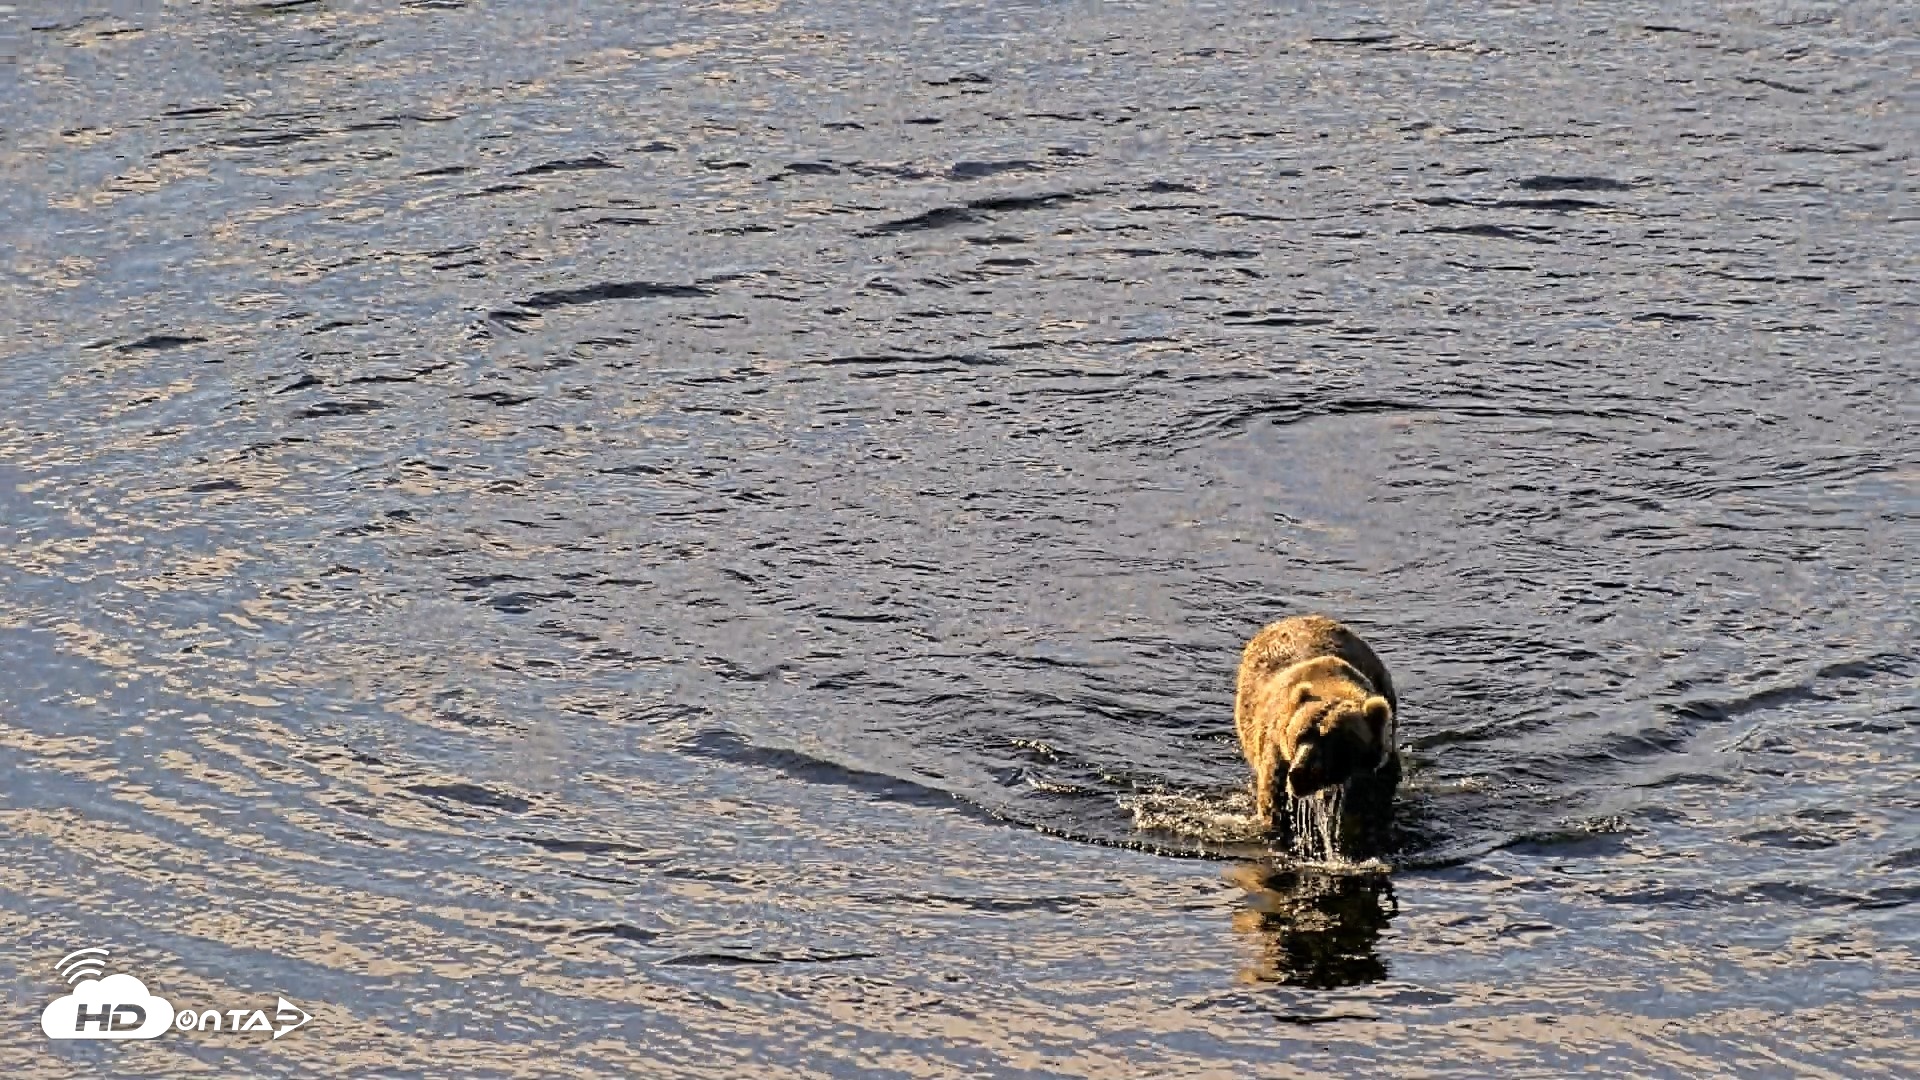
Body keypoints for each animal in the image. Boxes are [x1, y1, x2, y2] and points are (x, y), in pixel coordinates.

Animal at [1233, 615, 1399, 857]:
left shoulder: (1375, 773)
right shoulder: (1278, 756)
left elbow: (1372, 808)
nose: (1300, 774)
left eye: (1334, 740)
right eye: (1299, 735)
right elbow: (1276, 808)